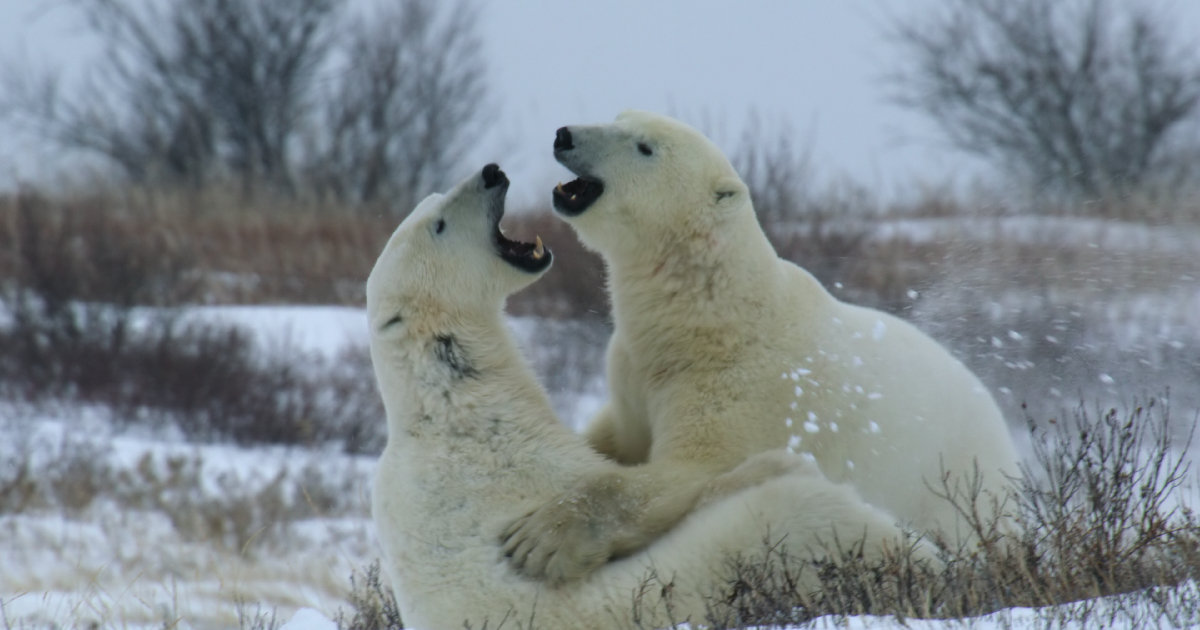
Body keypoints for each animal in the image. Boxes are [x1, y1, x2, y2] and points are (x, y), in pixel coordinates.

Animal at [369, 163, 931, 628]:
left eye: (435, 200)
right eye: (439, 224)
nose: (491, 172)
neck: (449, 400)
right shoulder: (511, 460)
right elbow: (649, 488)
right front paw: (777, 463)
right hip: (745, 557)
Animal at [499, 111, 1022, 580]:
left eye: (644, 146)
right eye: (617, 116)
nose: (564, 135)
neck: (708, 317)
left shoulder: (745, 388)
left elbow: (690, 471)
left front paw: (540, 538)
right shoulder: (635, 370)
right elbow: (615, 436)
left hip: (957, 486)